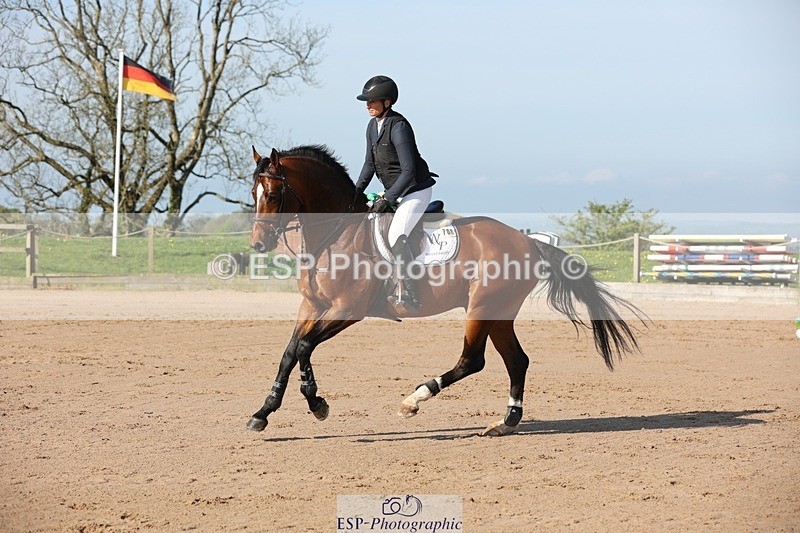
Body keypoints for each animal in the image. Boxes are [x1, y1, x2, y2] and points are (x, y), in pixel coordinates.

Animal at [247, 145, 644, 436]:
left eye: (273, 193)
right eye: (253, 192)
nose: (257, 244)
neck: (334, 234)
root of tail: (529, 242)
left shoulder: (348, 308)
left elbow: (304, 346)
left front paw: (316, 403)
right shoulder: (312, 306)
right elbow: (292, 351)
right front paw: (264, 411)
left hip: (481, 307)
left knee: (473, 360)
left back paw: (415, 398)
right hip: (498, 312)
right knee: (517, 360)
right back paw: (506, 422)